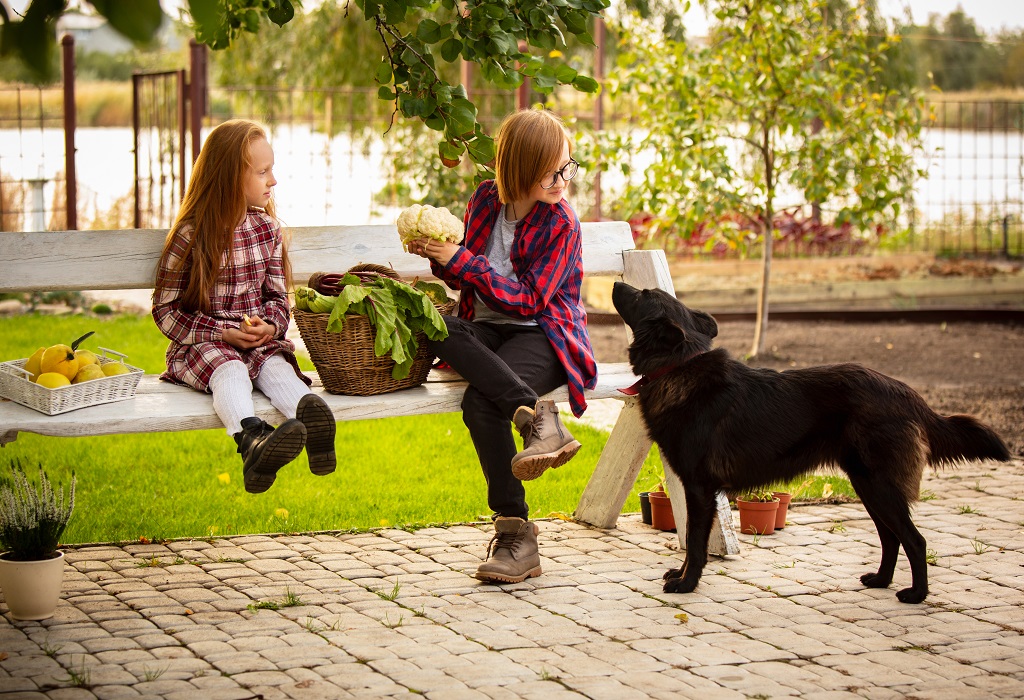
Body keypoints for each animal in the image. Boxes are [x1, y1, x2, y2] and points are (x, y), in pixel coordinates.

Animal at [610, 282, 1011, 605]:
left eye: (643, 293)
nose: (615, 283)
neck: (678, 366)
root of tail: (907, 393)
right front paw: (681, 575)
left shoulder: (699, 489)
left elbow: (694, 542)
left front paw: (686, 584)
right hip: (868, 485)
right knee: (890, 537)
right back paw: (881, 580)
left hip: (879, 485)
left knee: (914, 540)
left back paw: (916, 595)